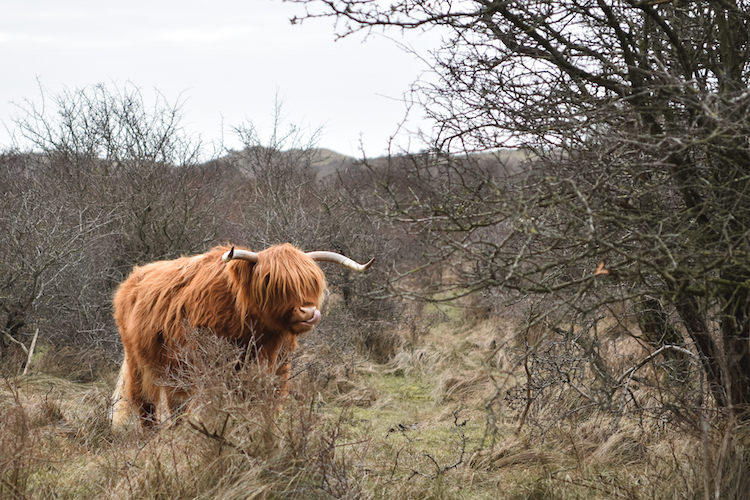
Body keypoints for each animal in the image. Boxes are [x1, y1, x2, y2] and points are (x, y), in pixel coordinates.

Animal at [110, 244, 374, 428]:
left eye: (311, 281)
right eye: (271, 282)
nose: (308, 312)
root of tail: (132, 280)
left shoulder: (278, 370)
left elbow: (265, 407)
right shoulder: (211, 369)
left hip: (174, 372)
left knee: (176, 406)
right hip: (139, 364)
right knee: (144, 404)